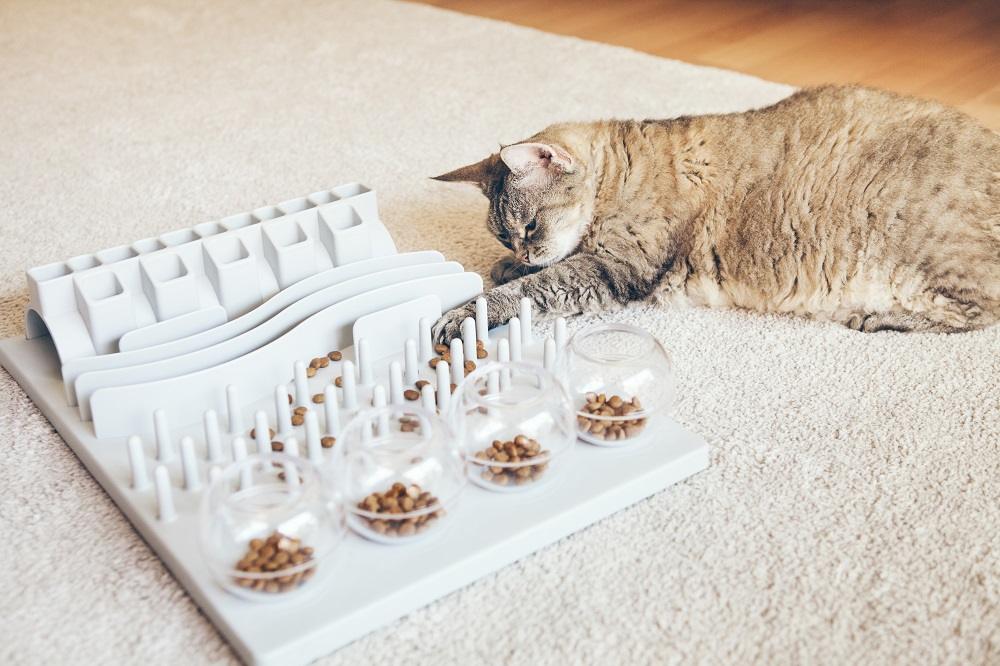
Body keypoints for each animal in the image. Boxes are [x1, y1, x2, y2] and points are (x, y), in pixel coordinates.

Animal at [434, 84, 1000, 342]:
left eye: (529, 225)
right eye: (506, 235)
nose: (524, 249)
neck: (620, 172)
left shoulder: (615, 269)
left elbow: (533, 289)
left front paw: (466, 312)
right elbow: (533, 273)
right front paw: (505, 267)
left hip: (917, 260)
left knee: (978, 313)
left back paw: (877, 317)